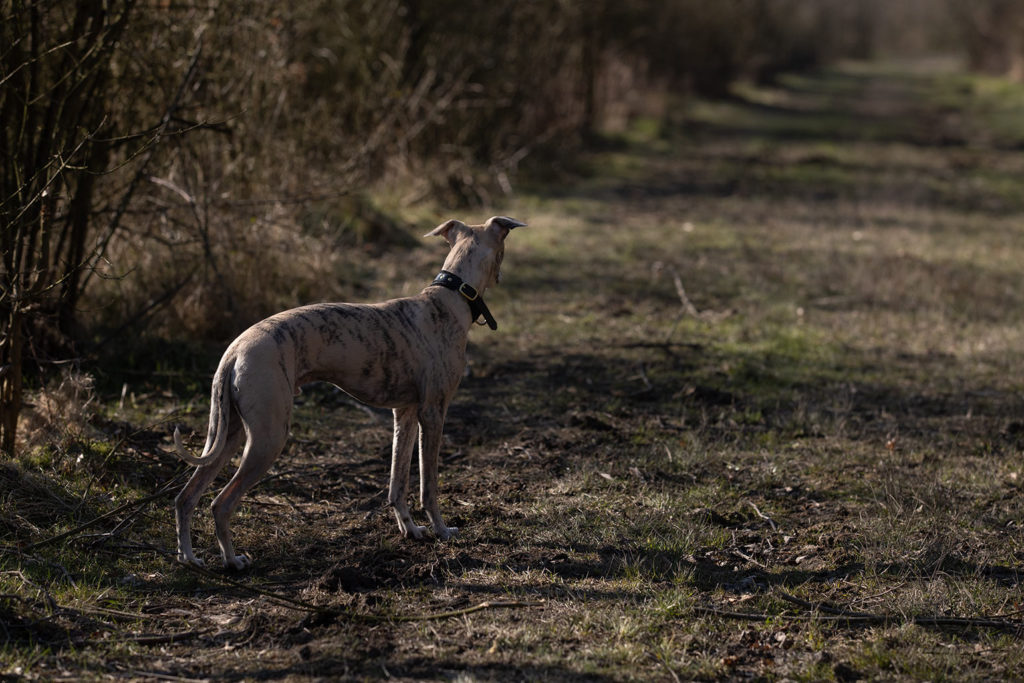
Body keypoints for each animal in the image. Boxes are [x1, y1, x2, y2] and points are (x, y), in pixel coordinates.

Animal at [172, 216, 524, 569]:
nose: (502, 276)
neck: (450, 295)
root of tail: (235, 350)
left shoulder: (405, 414)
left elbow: (397, 483)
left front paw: (410, 530)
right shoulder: (433, 413)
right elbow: (429, 485)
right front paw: (441, 530)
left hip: (226, 432)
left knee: (185, 496)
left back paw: (188, 557)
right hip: (267, 438)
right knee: (221, 502)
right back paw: (232, 561)